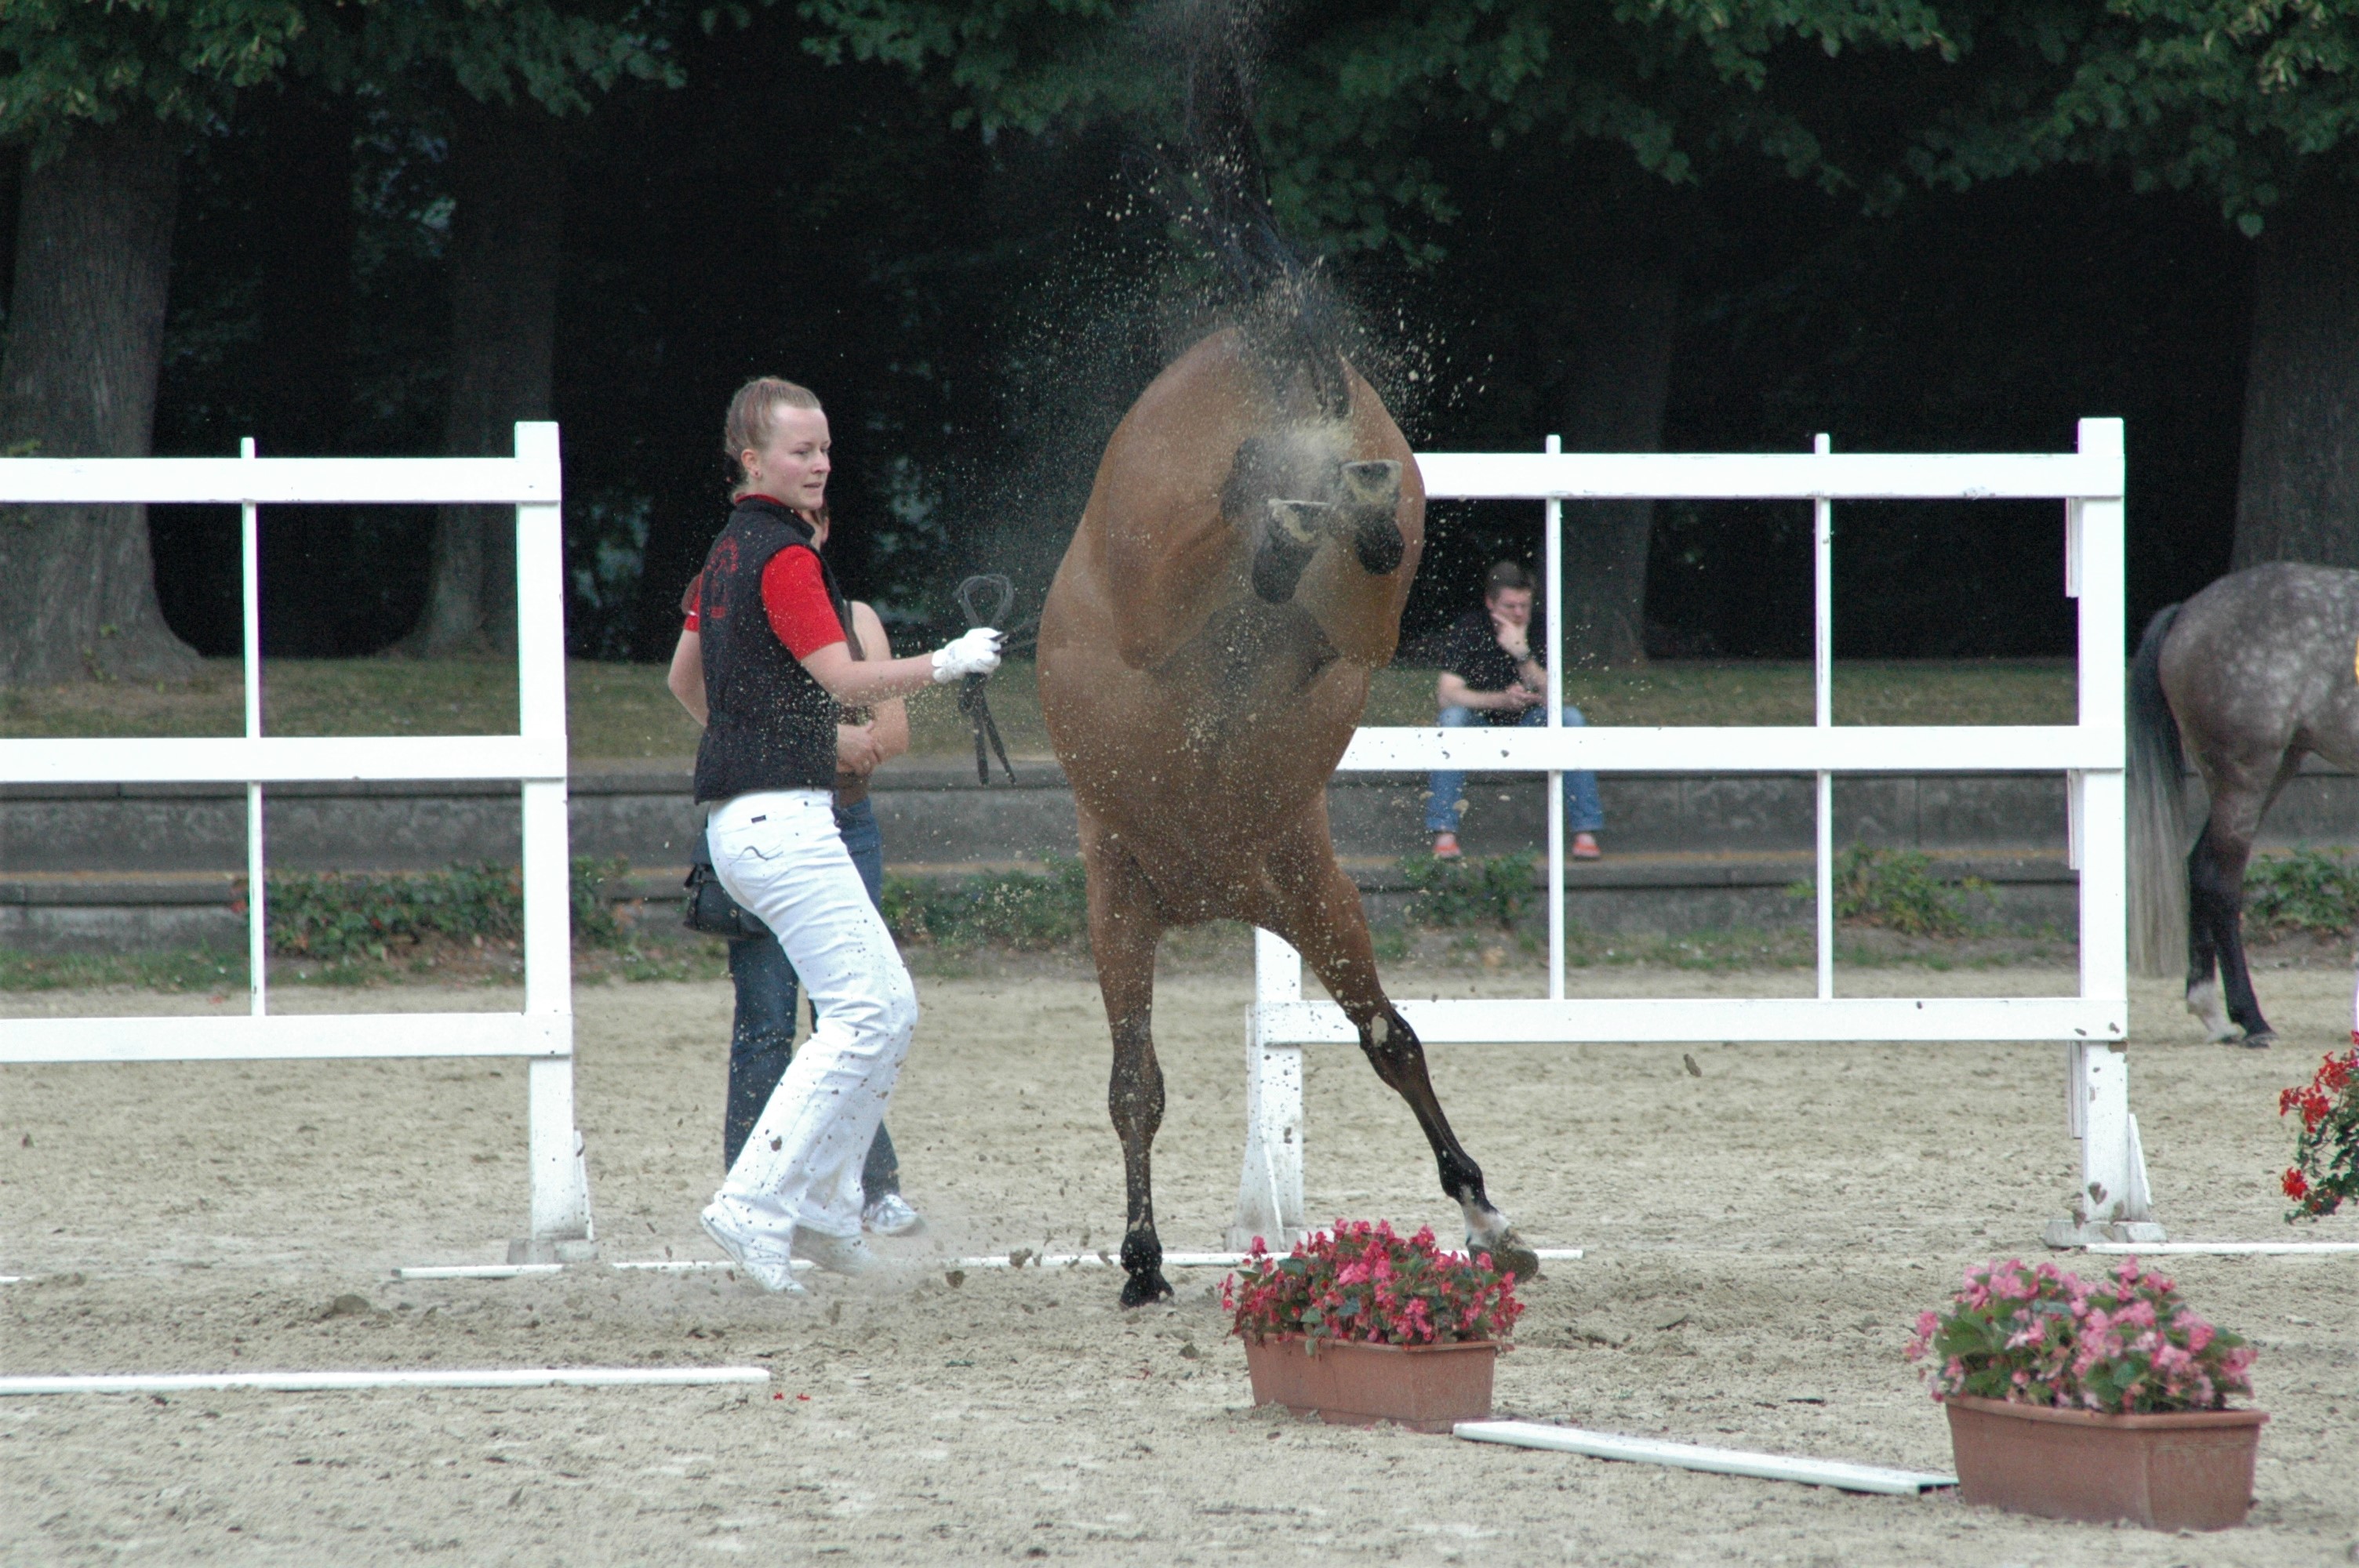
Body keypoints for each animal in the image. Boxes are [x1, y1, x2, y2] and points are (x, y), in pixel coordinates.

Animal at [2132, 556, 2359, 1047]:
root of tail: (2187, 613)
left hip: (2268, 773)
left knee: (2199, 868)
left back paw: (2212, 1014)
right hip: (2246, 779)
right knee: (2220, 884)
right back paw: (2251, 1020)